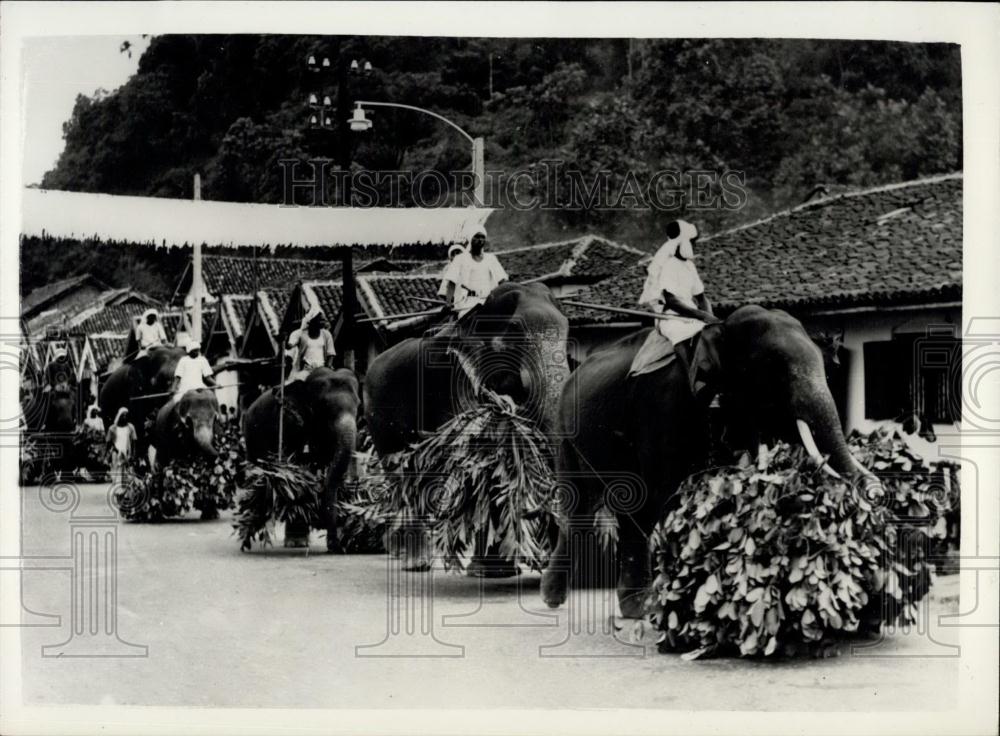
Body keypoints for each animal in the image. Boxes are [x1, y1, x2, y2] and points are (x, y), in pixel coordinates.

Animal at [242, 368, 360, 552]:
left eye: (359, 405)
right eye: (323, 407)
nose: (337, 547)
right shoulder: (289, 423)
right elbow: (294, 467)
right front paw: (297, 542)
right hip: (251, 437)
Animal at [364, 282, 572, 576]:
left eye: (568, 328)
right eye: (515, 330)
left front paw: (503, 572)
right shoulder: (456, 385)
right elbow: (478, 461)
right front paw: (489, 573)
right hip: (380, 422)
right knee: (403, 479)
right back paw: (415, 564)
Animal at [544, 304, 880, 616]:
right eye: (773, 370)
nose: (877, 492)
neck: (718, 327)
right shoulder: (661, 405)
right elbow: (659, 495)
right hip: (565, 430)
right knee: (586, 507)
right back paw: (570, 601)